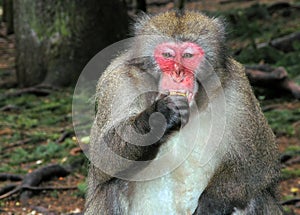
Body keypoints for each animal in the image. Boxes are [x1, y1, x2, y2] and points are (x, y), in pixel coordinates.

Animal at [85, 10, 282, 215]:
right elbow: (103, 158)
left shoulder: (238, 88)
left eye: (188, 55)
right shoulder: (117, 82)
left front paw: (211, 204)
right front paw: (158, 117)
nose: (178, 74)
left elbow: (259, 166)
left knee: (256, 196)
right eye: (167, 55)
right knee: (113, 186)